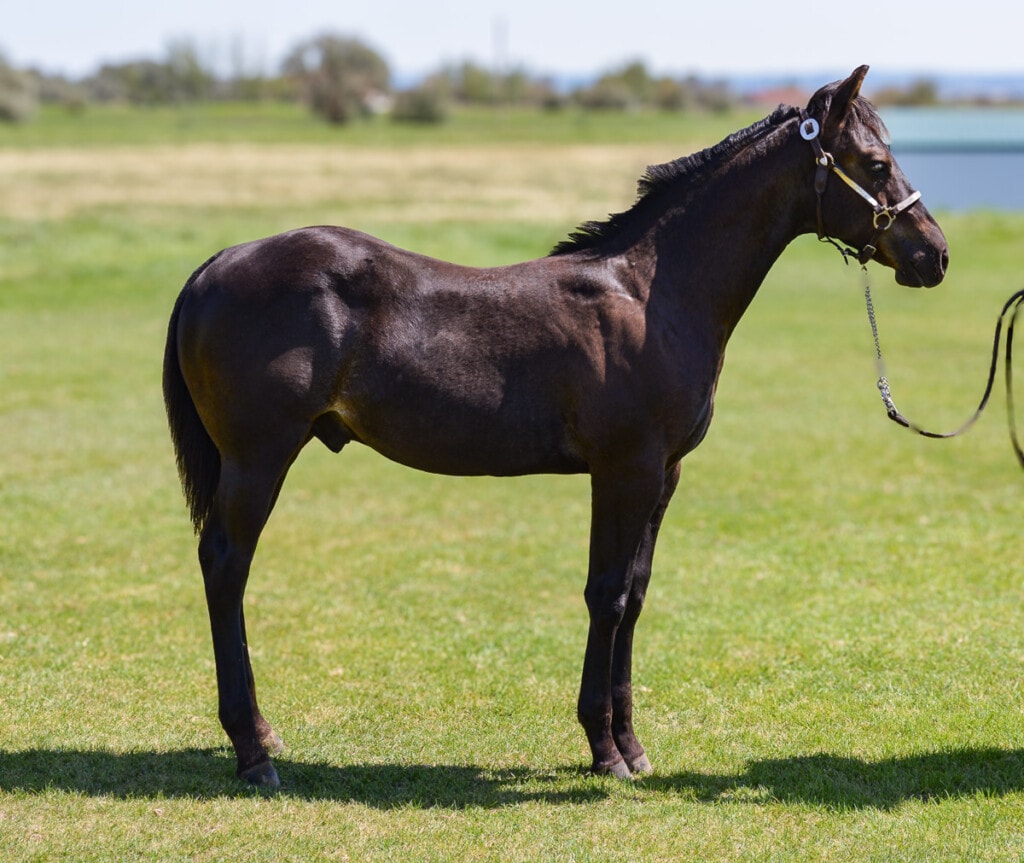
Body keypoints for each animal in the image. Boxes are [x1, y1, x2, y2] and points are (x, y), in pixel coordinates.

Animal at [162, 66, 948, 788]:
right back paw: (254, 751)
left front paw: (631, 744)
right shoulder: (623, 468)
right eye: (876, 164)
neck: (652, 293)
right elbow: (606, 593)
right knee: (226, 565)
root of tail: (213, 266)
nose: (934, 254)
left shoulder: (663, 474)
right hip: (258, 458)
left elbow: (635, 594)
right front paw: (605, 750)